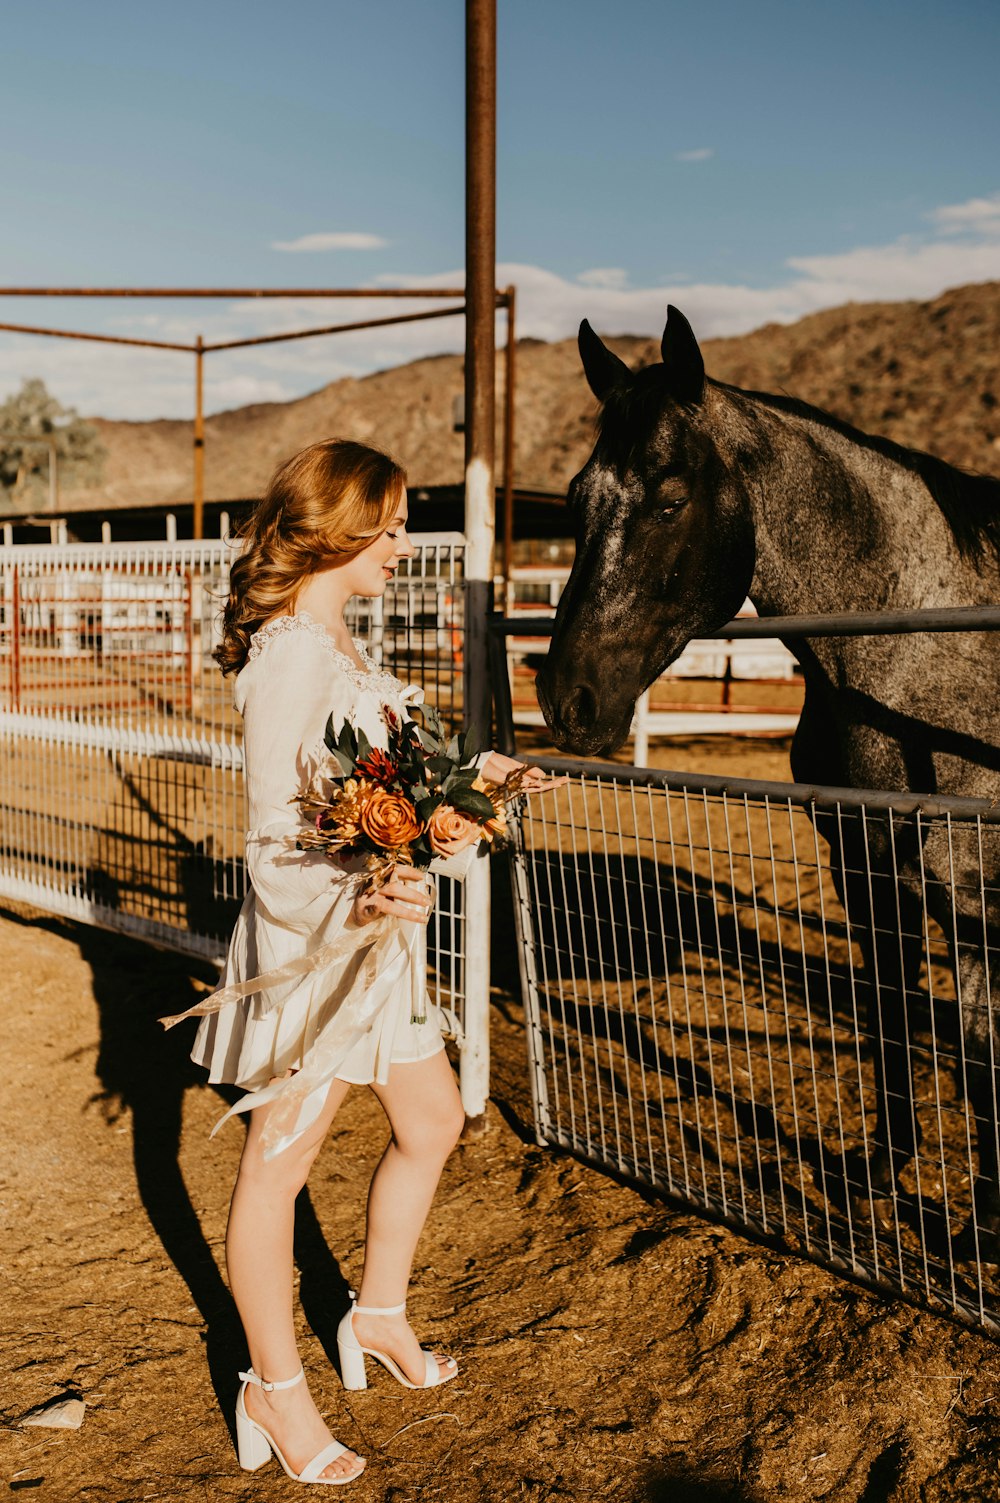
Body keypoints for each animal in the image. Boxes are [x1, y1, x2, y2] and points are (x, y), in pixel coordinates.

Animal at [538, 308, 998, 1244]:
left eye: (670, 500)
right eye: (575, 498)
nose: (569, 700)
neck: (919, 651)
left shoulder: (967, 883)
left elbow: (974, 1051)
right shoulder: (865, 868)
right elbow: (891, 1016)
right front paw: (877, 1173)